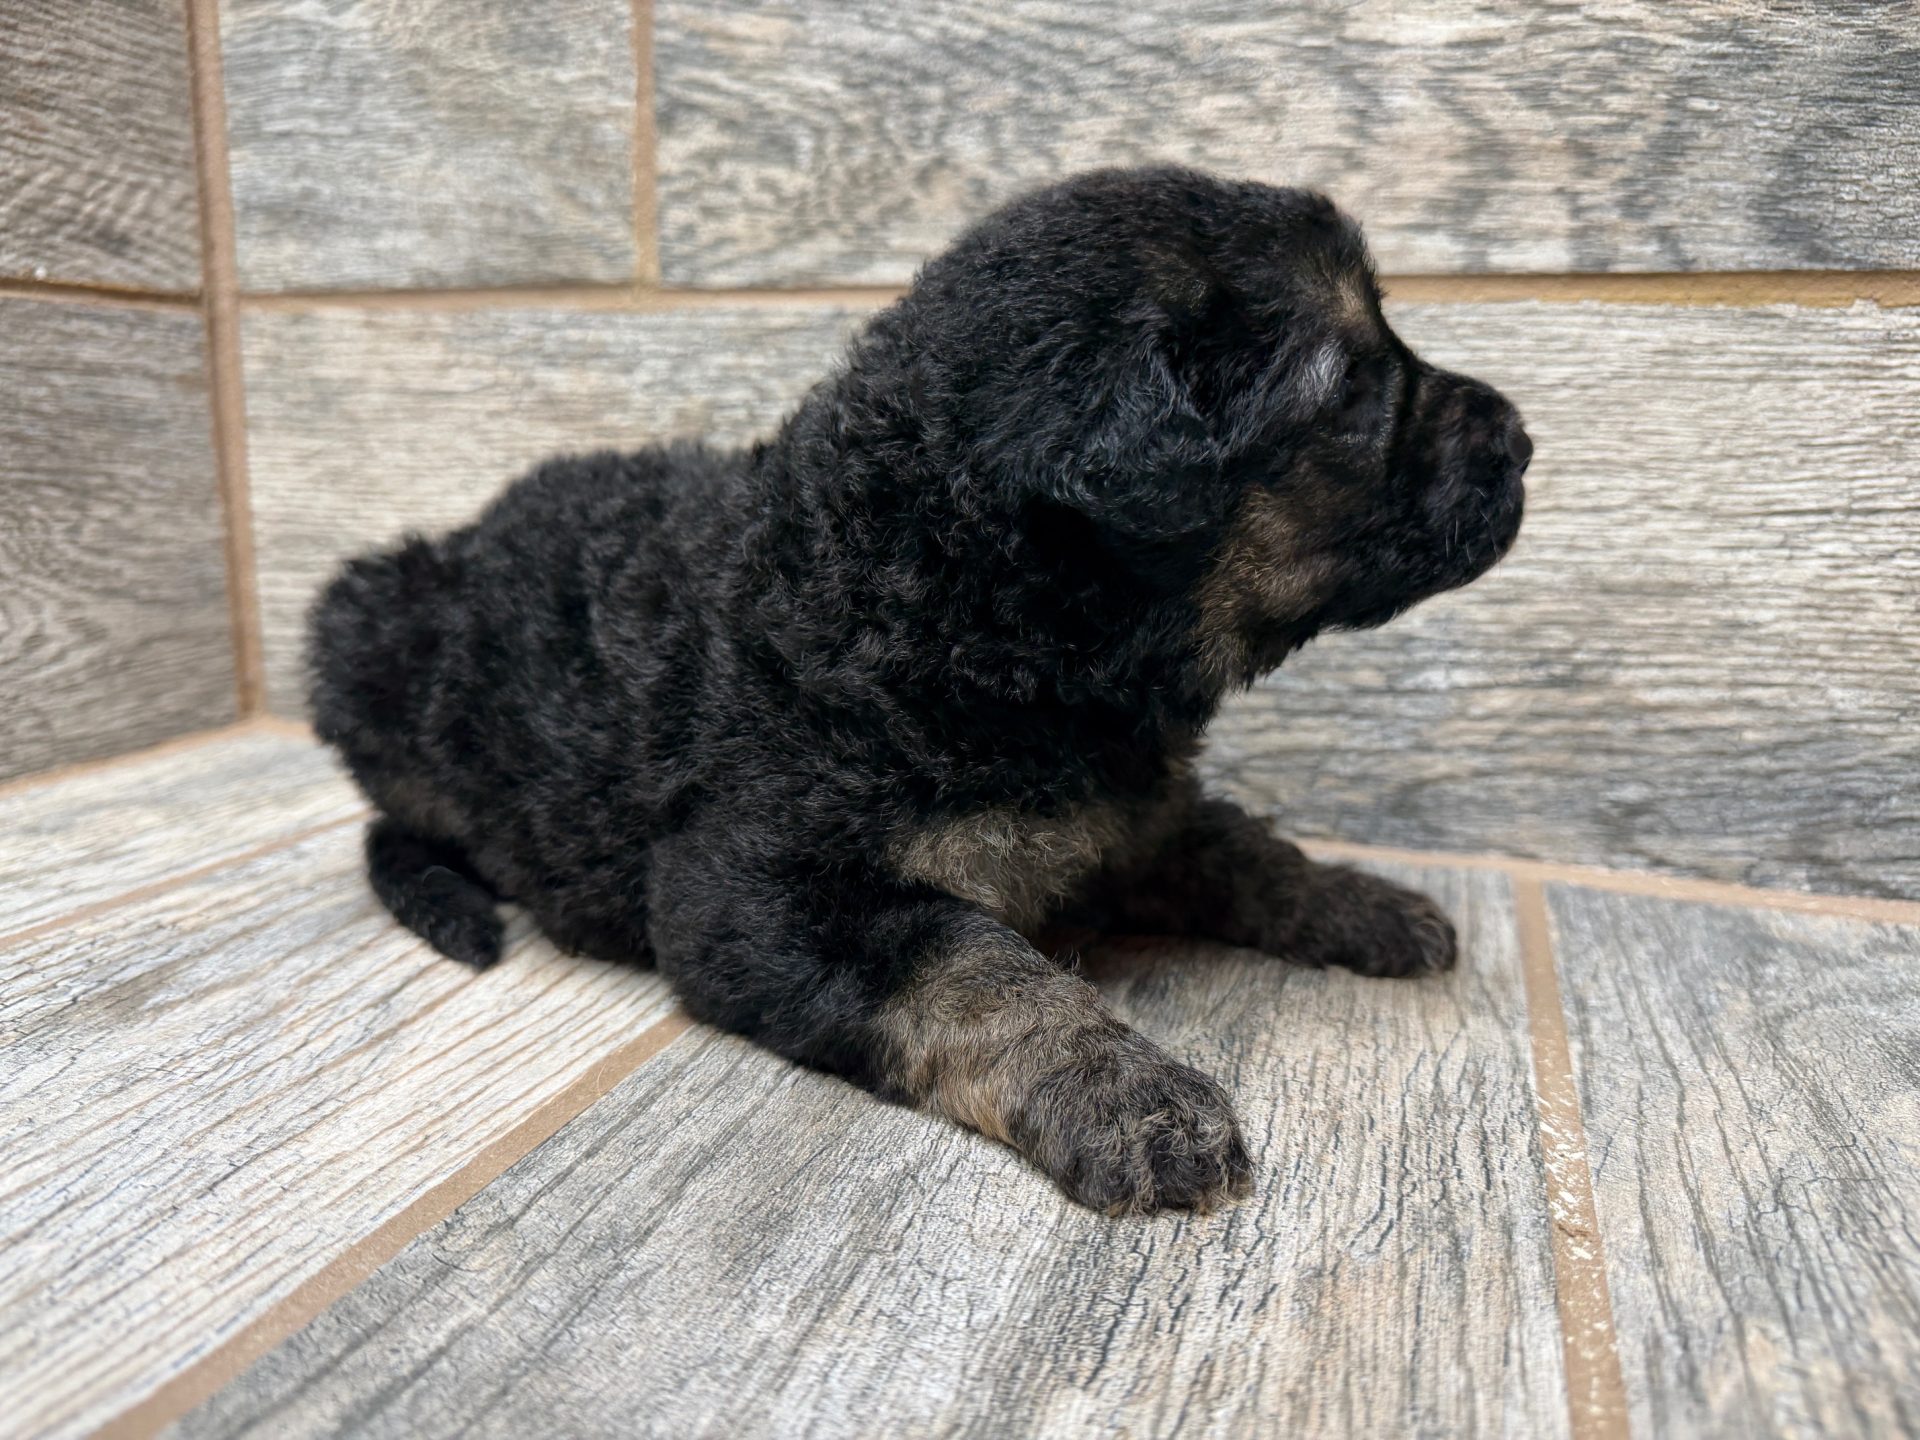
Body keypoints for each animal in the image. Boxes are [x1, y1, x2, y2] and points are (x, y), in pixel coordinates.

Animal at [310, 167, 1528, 1215]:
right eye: (1354, 385)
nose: (1521, 440)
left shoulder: (1139, 808)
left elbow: (1245, 849)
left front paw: (1369, 905)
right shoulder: (753, 896)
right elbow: (979, 969)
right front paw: (1133, 1103)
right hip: (363, 634)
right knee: (393, 819)